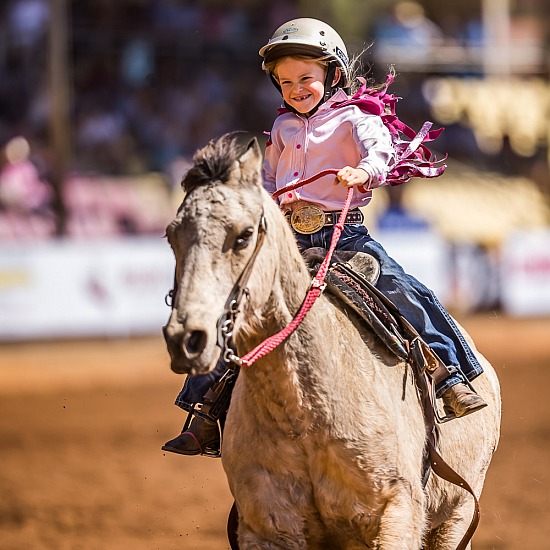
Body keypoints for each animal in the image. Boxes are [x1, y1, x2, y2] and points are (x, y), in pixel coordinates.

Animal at [162, 135, 502, 550]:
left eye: (243, 235)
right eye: (172, 236)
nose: (186, 339)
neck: (302, 408)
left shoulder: (398, 512)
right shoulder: (264, 528)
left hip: (456, 517)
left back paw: (461, 393)